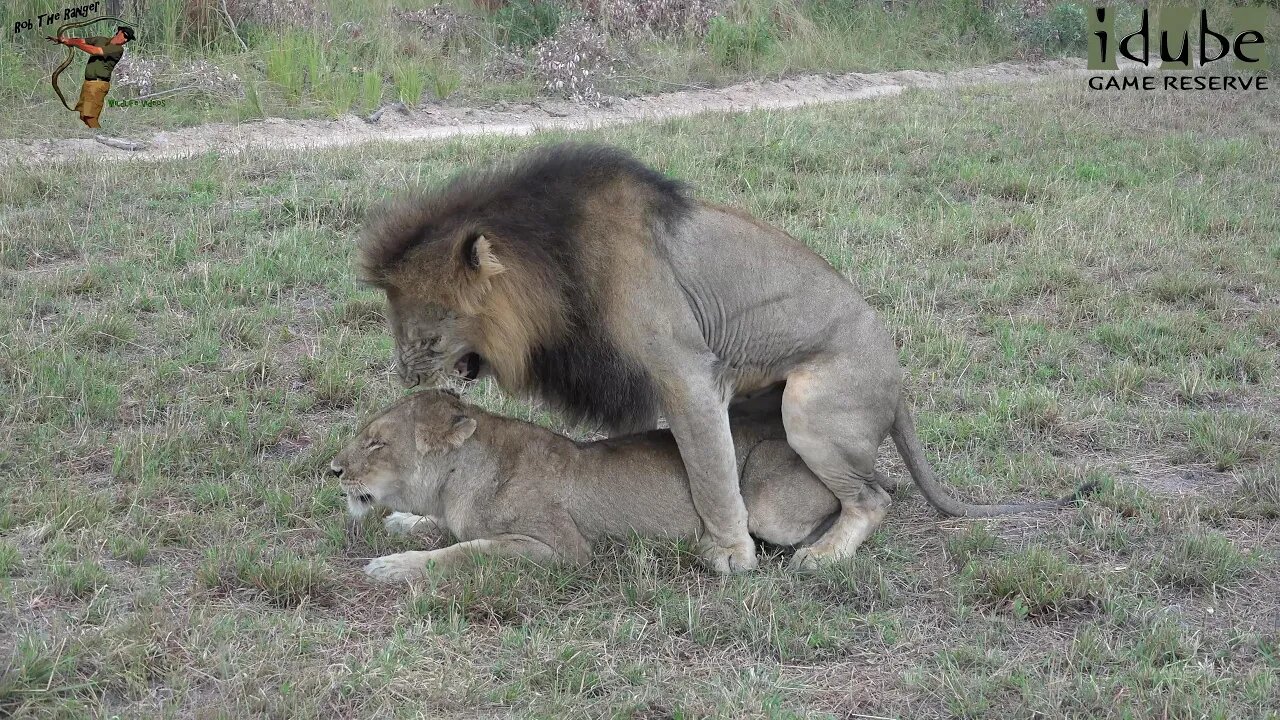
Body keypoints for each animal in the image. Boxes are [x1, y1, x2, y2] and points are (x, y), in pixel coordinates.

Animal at [335, 386, 844, 576]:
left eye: (377, 443)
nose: (334, 470)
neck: (454, 483)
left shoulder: (561, 548)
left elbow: (467, 550)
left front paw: (394, 565)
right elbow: (447, 530)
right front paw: (404, 521)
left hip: (769, 505)